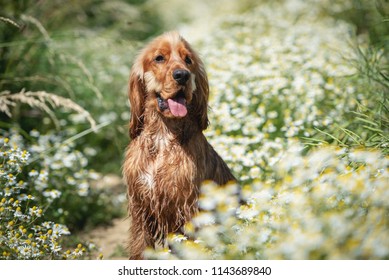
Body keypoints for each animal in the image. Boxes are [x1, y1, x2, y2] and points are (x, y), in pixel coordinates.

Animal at [123, 31, 235, 260]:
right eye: (159, 58)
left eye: (188, 60)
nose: (182, 75)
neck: (163, 138)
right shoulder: (141, 207)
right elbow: (140, 247)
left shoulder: (188, 207)